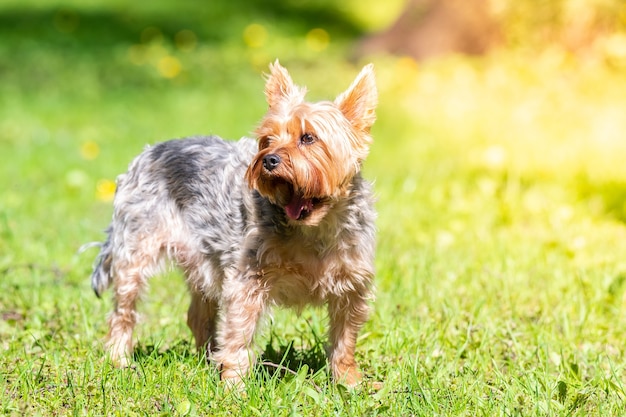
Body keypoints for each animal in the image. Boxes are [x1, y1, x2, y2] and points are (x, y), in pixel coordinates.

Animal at [89, 60, 376, 386]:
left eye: (308, 138)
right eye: (267, 140)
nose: (269, 159)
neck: (313, 228)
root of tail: (147, 152)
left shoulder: (352, 285)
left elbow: (345, 336)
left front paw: (349, 382)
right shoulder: (247, 279)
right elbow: (240, 334)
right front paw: (234, 386)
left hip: (203, 260)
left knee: (198, 314)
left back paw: (207, 359)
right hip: (136, 246)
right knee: (124, 308)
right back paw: (120, 360)